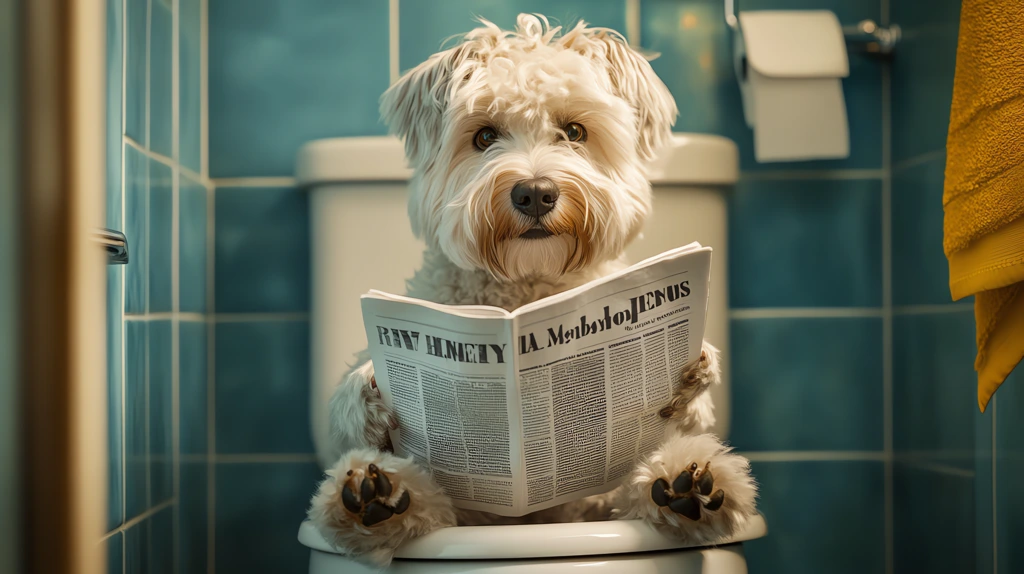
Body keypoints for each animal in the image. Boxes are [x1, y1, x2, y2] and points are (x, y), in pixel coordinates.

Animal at [307, 13, 757, 564]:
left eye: (575, 131)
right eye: (484, 136)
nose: (536, 193)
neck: (527, 290)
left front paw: (696, 379)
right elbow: (347, 412)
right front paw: (369, 386)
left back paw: (691, 487)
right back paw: (374, 497)